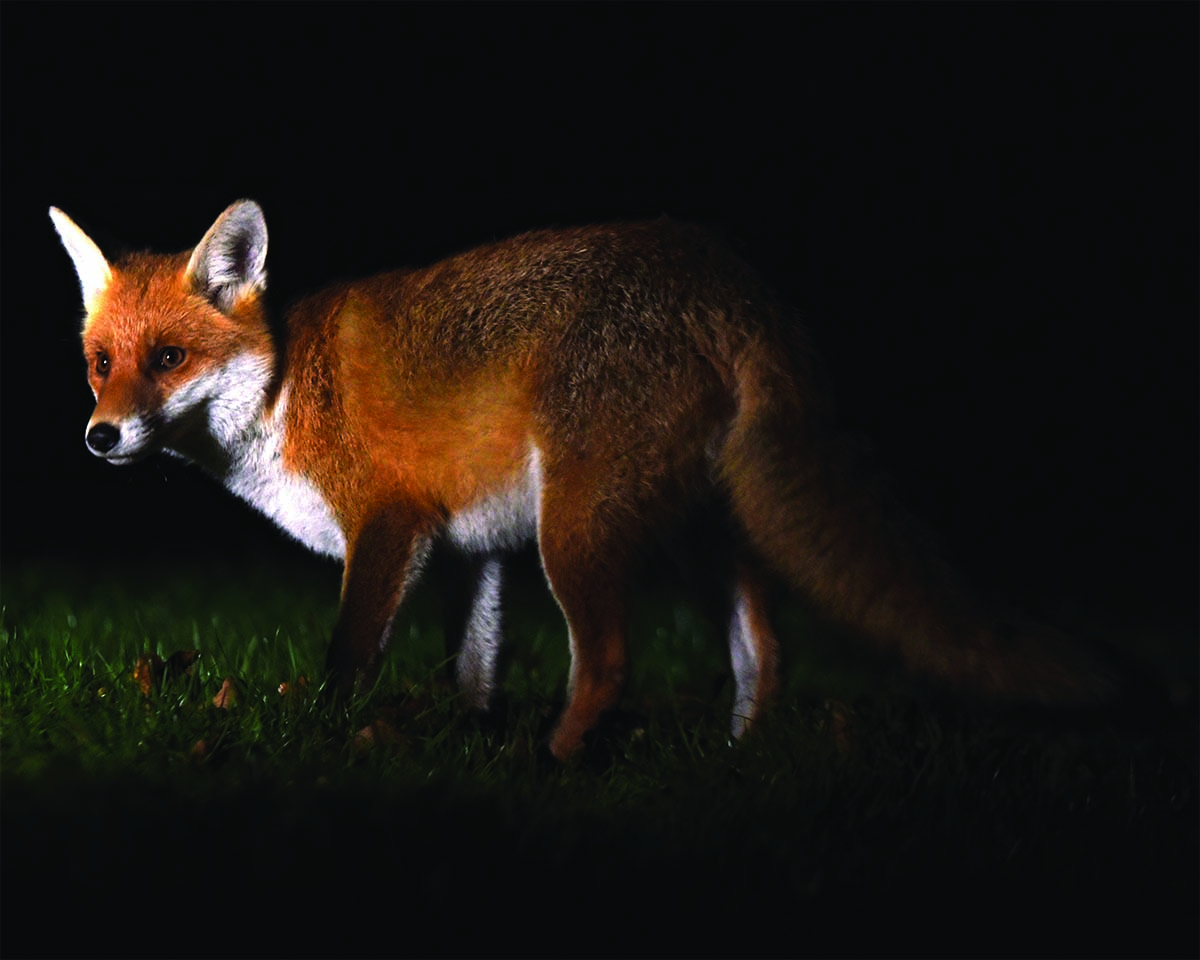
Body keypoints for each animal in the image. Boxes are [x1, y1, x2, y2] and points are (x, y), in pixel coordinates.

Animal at [51, 200, 1122, 760]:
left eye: (171, 359)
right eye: (102, 362)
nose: (101, 438)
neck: (284, 388)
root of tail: (728, 278)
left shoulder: (391, 525)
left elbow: (349, 658)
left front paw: (323, 743)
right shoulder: (470, 548)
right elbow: (473, 671)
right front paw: (472, 751)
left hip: (576, 531)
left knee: (609, 662)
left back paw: (560, 768)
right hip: (695, 533)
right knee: (765, 650)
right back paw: (736, 761)